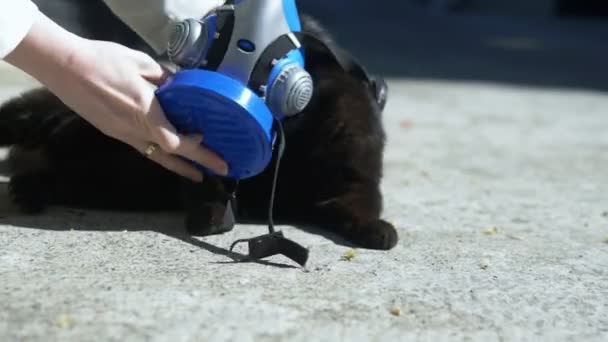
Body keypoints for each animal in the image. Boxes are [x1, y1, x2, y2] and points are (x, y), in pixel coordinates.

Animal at [0, 12, 400, 250]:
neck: (298, 144)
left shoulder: (351, 183)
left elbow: (358, 207)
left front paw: (378, 231)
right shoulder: (202, 160)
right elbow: (212, 189)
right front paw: (209, 217)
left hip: (94, 183)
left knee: (47, 175)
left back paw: (27, 190)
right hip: (45, 119)